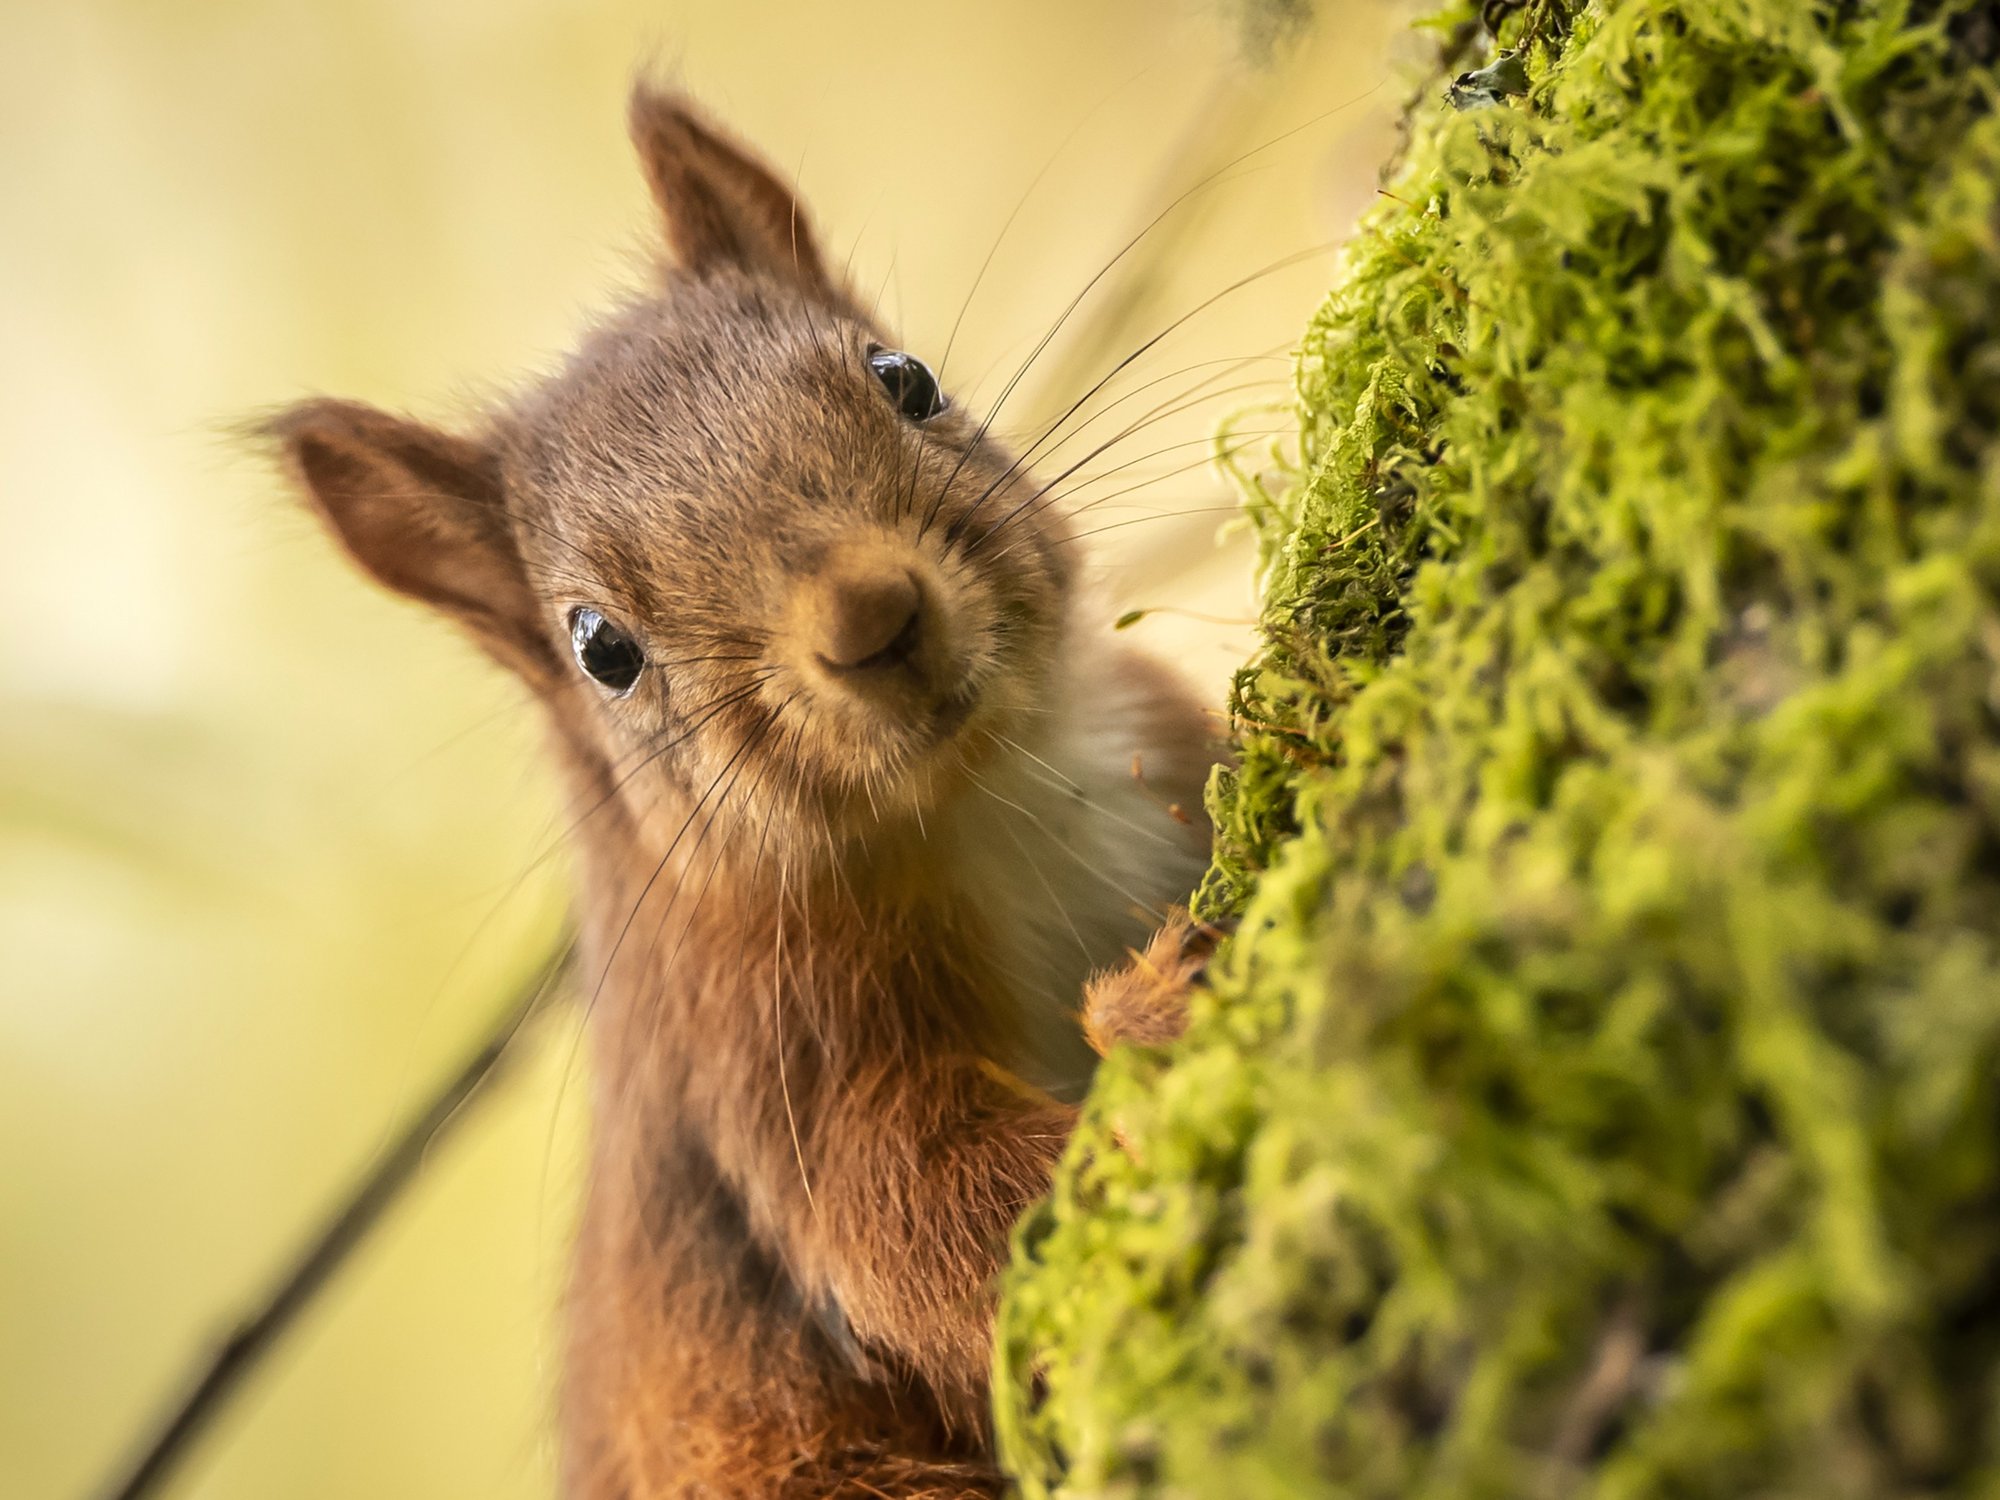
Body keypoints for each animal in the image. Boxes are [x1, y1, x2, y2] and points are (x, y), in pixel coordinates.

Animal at [270, 86, 1220, 1499]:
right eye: (600, 648)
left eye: (904, 377)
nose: (871, 616)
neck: (988, 796)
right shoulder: (765, 1057)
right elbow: (925, 1221)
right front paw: (1154, 1027)